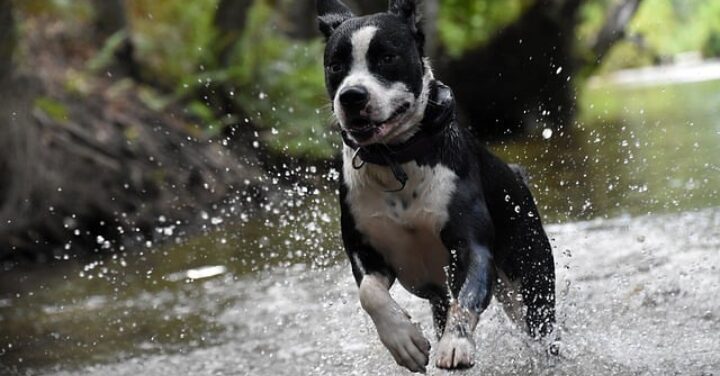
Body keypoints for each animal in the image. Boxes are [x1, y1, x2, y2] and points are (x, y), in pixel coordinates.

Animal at [318, 0, 560, 370]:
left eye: (387, 57)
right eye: (335, 66)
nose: (352, 96)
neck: (398, 159)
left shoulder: (471, 245)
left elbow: (468, 298)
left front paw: (456, 343)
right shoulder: (365, 250)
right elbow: (370, 294)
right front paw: (403, 341)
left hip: (532, 281)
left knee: (541, 330)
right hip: (443, 298)